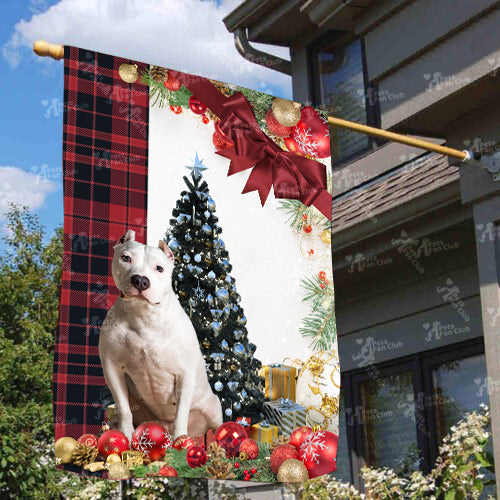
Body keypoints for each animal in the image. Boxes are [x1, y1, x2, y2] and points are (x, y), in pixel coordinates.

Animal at [98, 229, 223, 440]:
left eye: (159, 268)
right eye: (126, 258)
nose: (141, 280)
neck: (144, 317)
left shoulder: (184, 375)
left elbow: (181, 414)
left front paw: (180, 441)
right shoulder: (112, 367)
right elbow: (123, 408)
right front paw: (125, 435)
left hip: (214, 407)